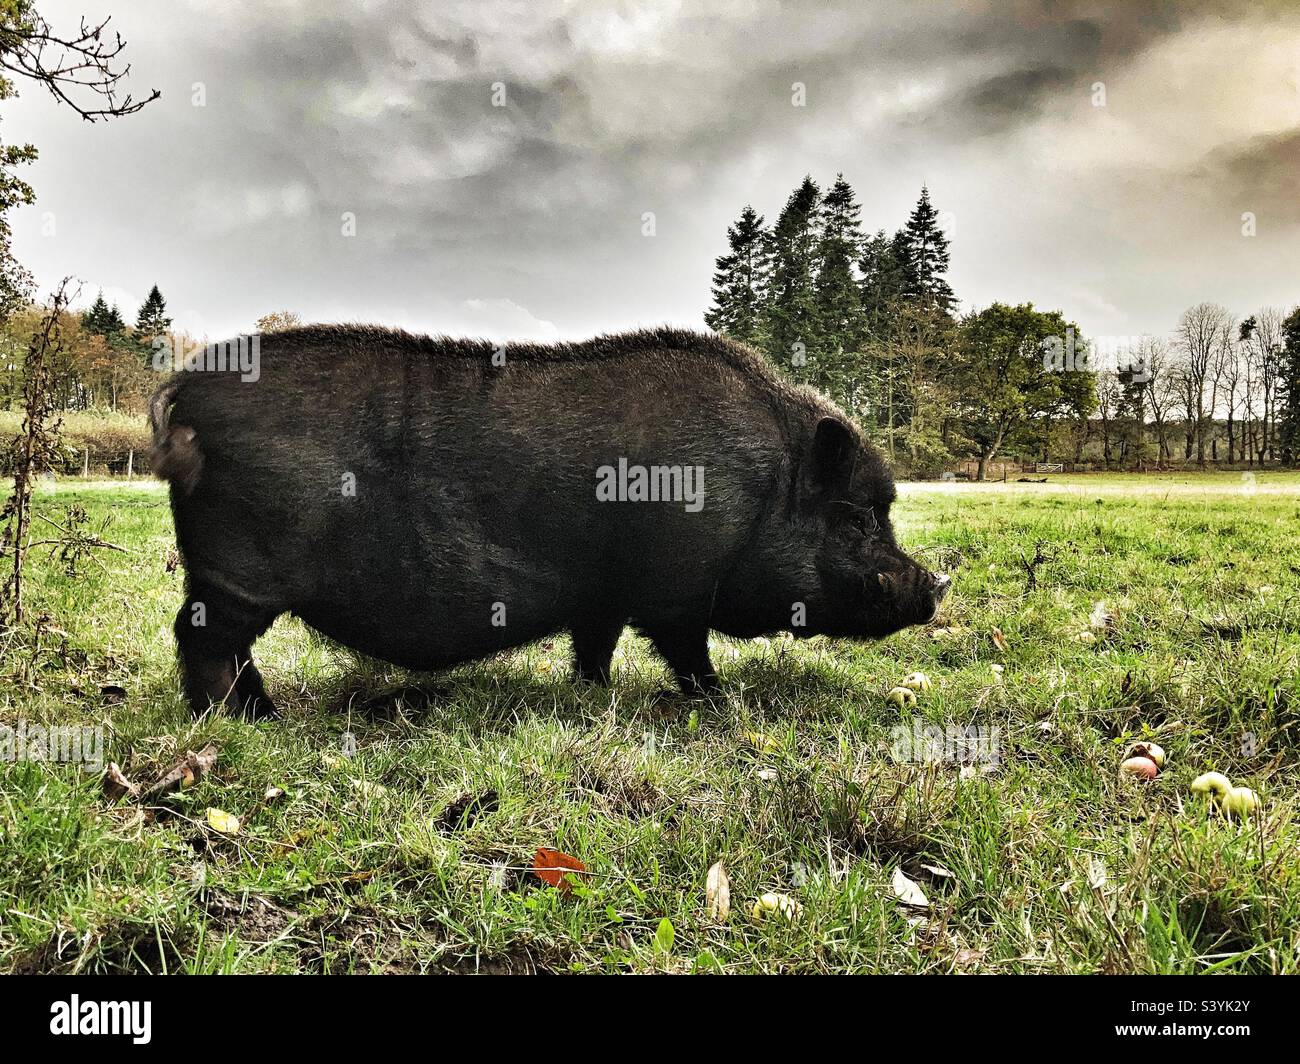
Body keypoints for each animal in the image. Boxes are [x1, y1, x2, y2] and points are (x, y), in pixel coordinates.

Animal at [150, 325, 951, 718]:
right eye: (856, 518)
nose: (937, 584)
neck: (765, 487)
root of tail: (184, 388)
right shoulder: (677, 588)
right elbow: (687, 651)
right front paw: (724, 703)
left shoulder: (605, 596)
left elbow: (594, 646)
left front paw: (594, 695)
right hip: (238, 571)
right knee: (202, 637)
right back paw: (243, 721)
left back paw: (258, 712)